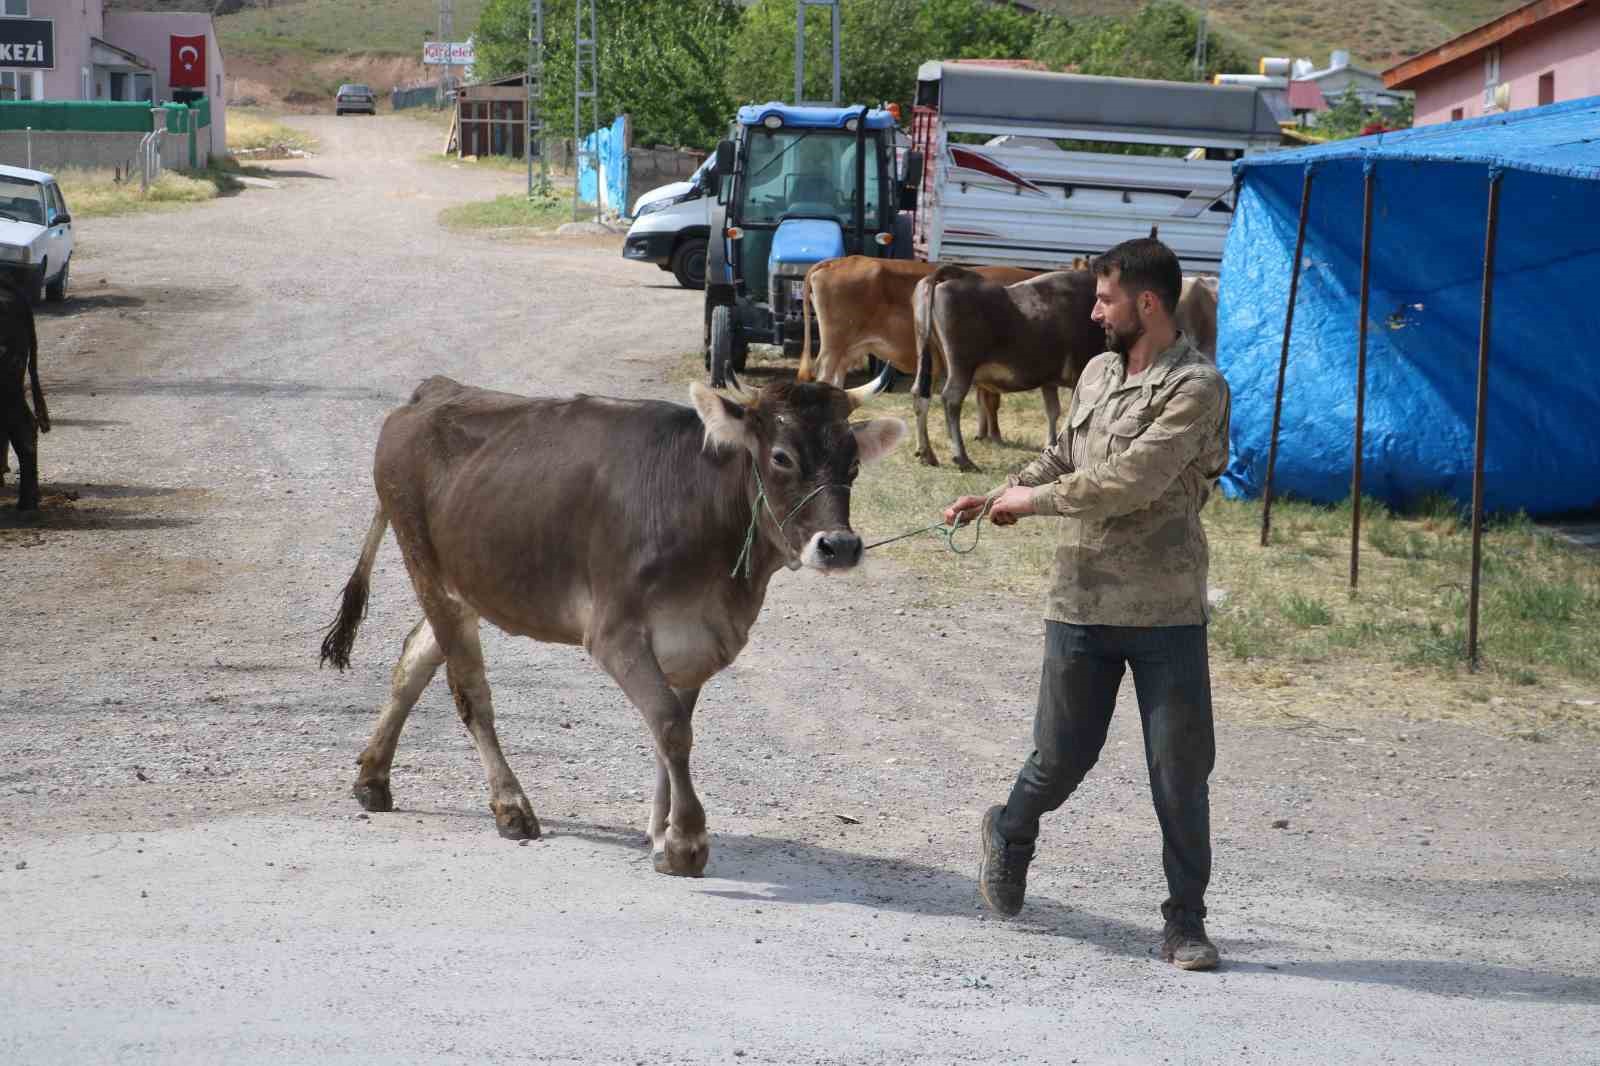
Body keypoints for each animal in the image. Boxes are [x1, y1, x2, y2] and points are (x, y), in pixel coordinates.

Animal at [318, 371, 908, 870]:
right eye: (782, 457)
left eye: (853, 463)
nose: (840, 546)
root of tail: (434, 390)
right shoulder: (615, 633)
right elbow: (670, 727)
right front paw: (686, 842)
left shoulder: (694, 637)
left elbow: (671, 730)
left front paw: (661, 833)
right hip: (427, 569)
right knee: (470, 694)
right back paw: (511, 806)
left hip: (466, 586)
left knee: (413, 658)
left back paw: (373, 776)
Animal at [908, 265, 1107, 470]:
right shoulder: (1081, 373)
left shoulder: (1048, 379)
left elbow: (1053, 410)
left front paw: (1050, 446)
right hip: (961, 365)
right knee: (951, 399)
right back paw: (962, 458)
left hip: (930, 357)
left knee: (920, 394)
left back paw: (926, 454)